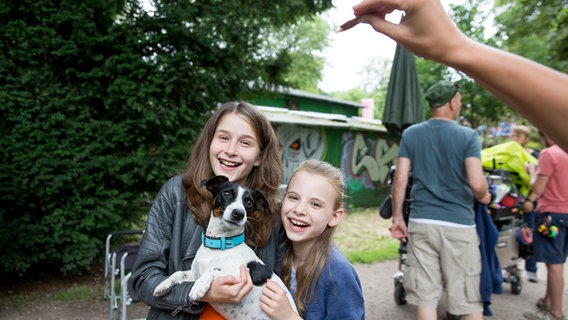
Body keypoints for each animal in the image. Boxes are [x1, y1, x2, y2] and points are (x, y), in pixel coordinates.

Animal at [153, 176, 300, 318]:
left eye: (249, 202)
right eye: (227, 193)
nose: (239, 213)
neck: (218, 244)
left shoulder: (239, 276)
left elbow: (213, 269)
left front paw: (198, 287)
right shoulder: (194, 274)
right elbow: (178, 273)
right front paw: (163, 285)